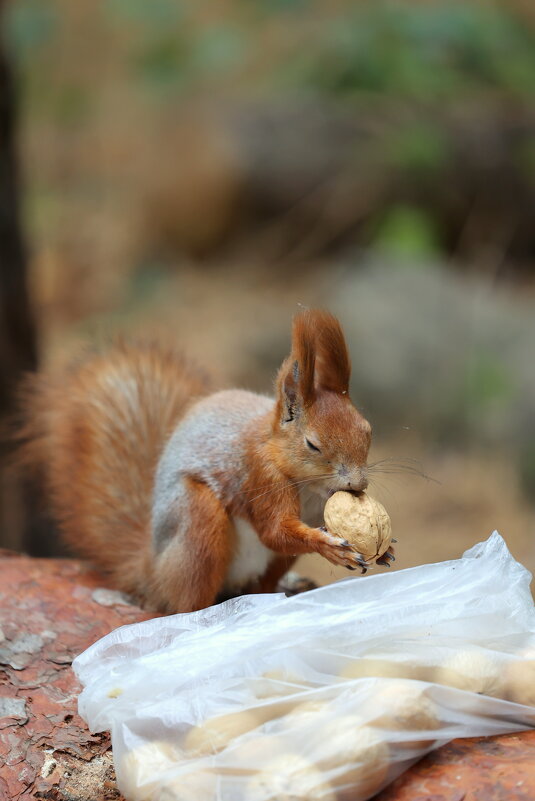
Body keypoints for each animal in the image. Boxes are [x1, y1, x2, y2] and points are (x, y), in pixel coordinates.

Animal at [19, 310, 394, 608]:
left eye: (367, 430)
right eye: (312, 445)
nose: (358, 483)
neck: (311, 488)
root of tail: (150, 569)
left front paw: (385, 549)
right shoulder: (260, 474)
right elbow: (274, 531)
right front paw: (329, 546)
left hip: (273, 563)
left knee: (263, 581)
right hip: (197, 521)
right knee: (185, 602)